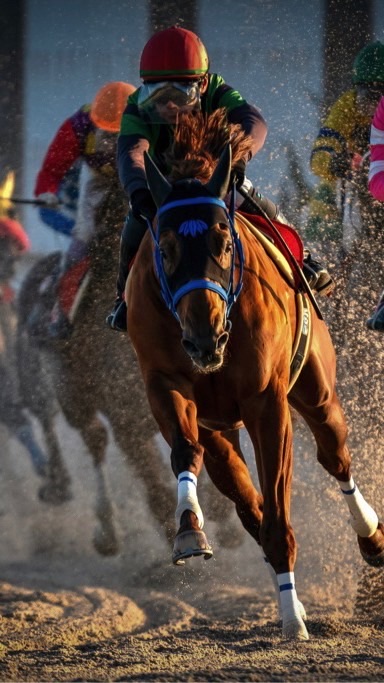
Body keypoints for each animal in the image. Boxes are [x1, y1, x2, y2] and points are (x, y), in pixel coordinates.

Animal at [127, 111, 384, 640]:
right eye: (165, 246)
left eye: (224, 242)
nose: (204, 337)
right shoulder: (167, 385)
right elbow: (189, 453)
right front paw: (189, 531)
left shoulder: (268, 403)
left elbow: (280, 516)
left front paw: (291, 620)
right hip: (223, 431)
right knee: (247, 502)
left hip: (318, 392)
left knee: (336, 457)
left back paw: (371, 537)